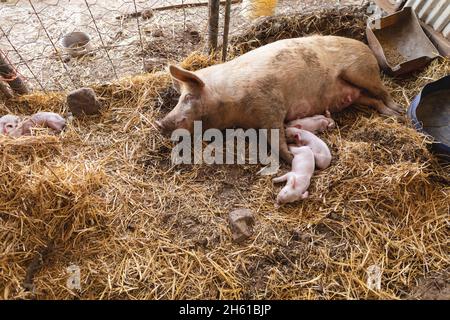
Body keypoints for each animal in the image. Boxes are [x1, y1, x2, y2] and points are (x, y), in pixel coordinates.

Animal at [157, 35, 400, 162]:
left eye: (189, 97)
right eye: (180, 98)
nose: (160, 123)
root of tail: (366, 47)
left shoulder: (270, 106)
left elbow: (276, 141)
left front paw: (292, 158)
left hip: (361, 72)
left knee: (384, 92)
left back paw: (397, 111)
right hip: (356, 95)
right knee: (374, 101)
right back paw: (390, 114)